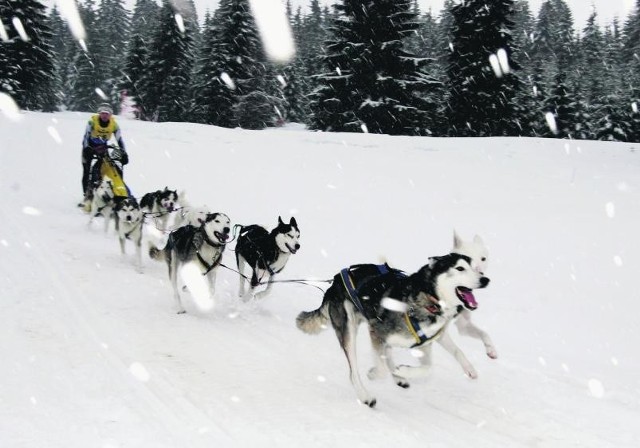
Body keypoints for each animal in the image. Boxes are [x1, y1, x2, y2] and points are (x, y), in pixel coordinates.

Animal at [296, 254, 490, 408]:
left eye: (475, 267)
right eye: (460, 268)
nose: (485, 280)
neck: (428, 298)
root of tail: (334, 282)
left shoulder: (427, 341)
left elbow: (432, 365)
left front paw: (470, 369)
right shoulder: (377, 332)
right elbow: (382, 369)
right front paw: (377, 373)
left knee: (387, 354)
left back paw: (398, 377)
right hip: (349, 329)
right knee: (354, 372)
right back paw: (365, 396)